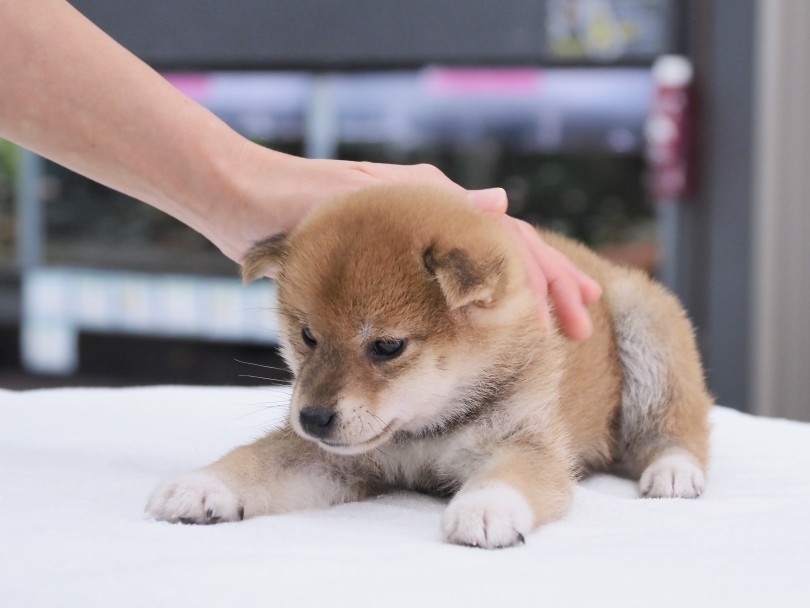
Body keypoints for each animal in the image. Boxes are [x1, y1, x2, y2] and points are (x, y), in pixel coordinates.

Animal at [145, 184, 708, 548]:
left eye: (387, 346)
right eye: (306, 337)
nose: (312, 419)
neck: (426, 429)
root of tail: (604, 266)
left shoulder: (525, 442)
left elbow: (512, 475)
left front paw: (485, 507)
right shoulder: (332, 460)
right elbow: (259, 461)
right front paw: (202, 486)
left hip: (649, 332)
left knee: (677, 429)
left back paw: (674, 470)